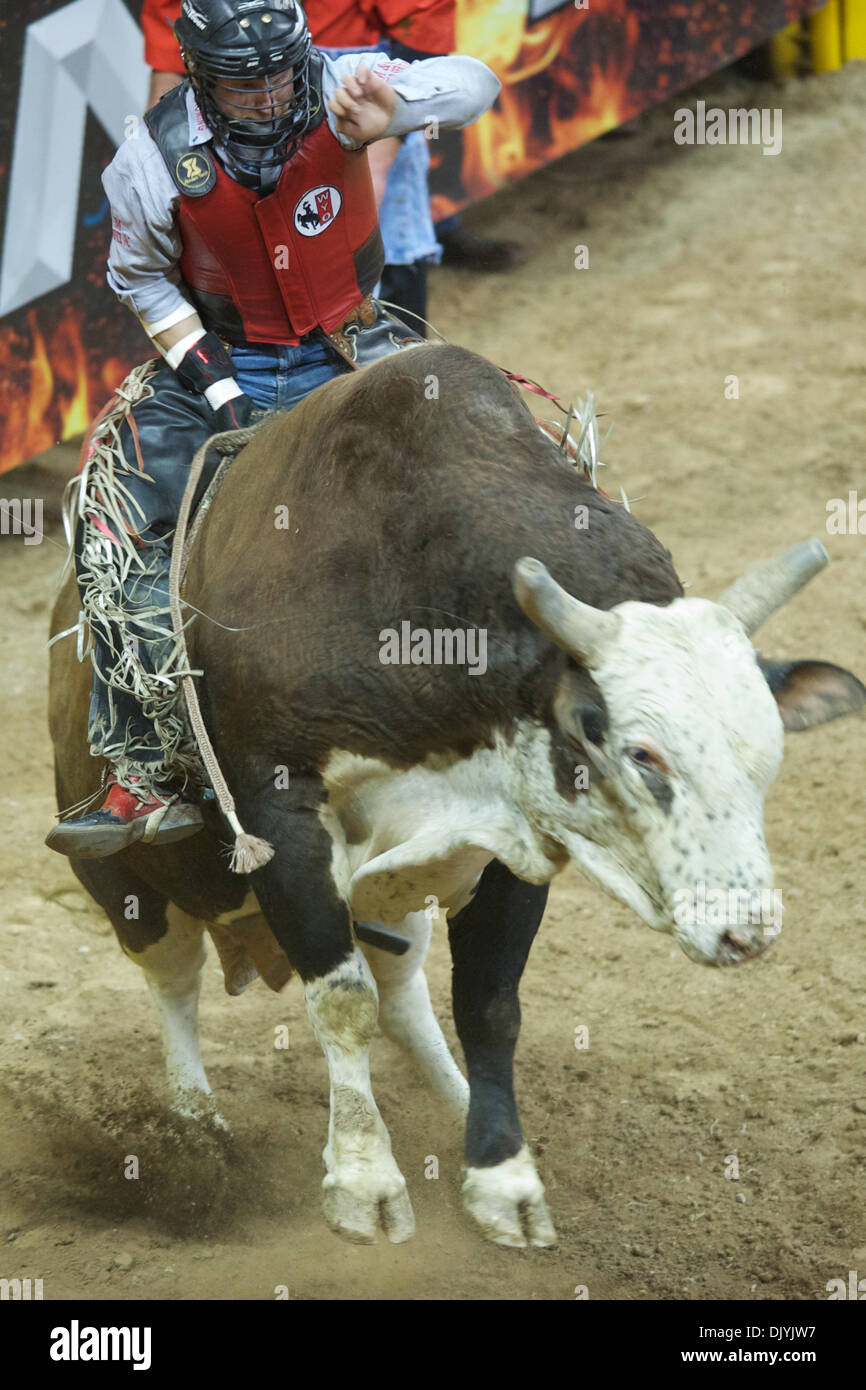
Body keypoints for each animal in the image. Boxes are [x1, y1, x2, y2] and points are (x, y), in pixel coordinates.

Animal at [48, 344, 866, 1251]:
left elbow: (487, 1004)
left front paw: (502, 1175)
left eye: (767, 750)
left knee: (401, 987)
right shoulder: (281, 820)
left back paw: (459, 1102)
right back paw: (194, 1129)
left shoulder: (516, 826)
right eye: (638, 751)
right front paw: (364, 1183)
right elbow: (341, 1000)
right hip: (124, 887)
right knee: (176, 981)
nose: (745, 929)